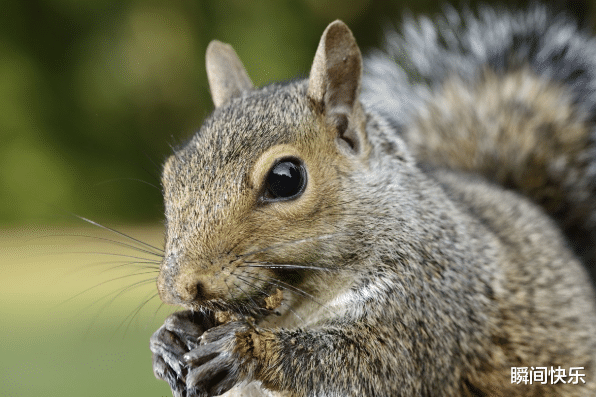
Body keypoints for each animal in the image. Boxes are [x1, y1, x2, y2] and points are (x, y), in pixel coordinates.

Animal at [148, 3, 596, 396]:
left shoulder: (427, 305)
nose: (184, 287)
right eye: (170, 174)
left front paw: (245, 347)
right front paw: (170, 337)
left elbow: (368, 367)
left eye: (286, 178)